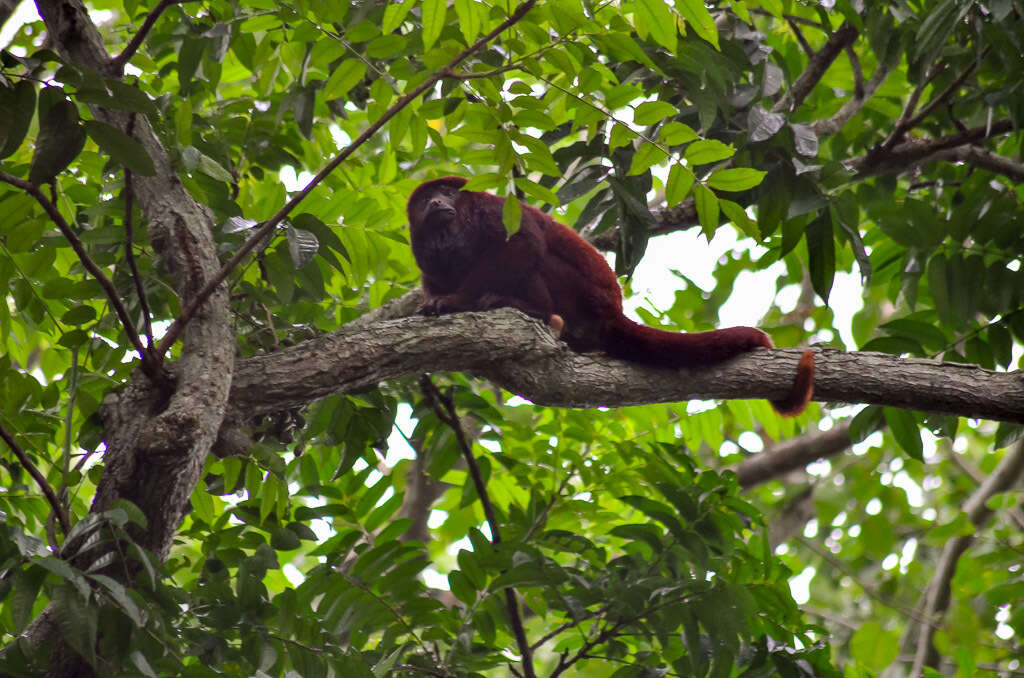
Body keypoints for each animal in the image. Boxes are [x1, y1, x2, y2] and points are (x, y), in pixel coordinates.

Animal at [407, 175, 815, 417]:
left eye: (447, 192)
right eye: (426, 199)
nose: (437, 203)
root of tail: (613, 313)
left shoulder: (489, 210)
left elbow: (523, 239)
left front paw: (457, 301)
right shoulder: (424, 257)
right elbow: (435, 281)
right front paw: (441, 301)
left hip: (579, 294)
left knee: (538, 255)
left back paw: (534, 311)